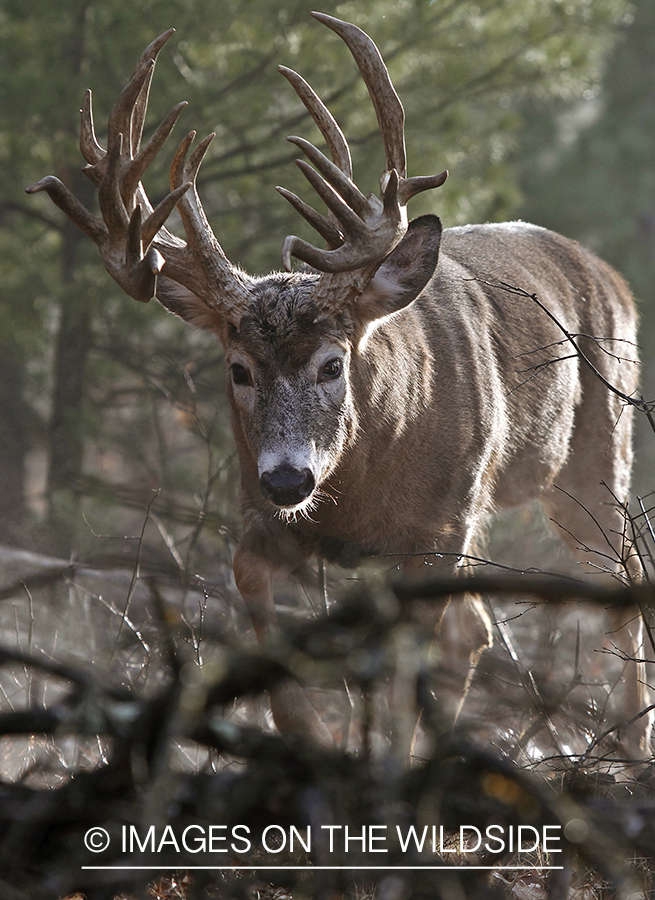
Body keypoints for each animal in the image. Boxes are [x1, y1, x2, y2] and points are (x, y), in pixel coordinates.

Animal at [26, 15, 652, 760]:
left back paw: (630, 748)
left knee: (618, 588)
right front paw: (310, 740)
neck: (357, 488)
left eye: (331, 364)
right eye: (238, 369)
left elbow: (401, 677)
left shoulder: (433, 530)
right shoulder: (260, 518)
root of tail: (612, 277)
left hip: (592, 461)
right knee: (476, 629)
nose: (288, 479)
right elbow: (268, 627)